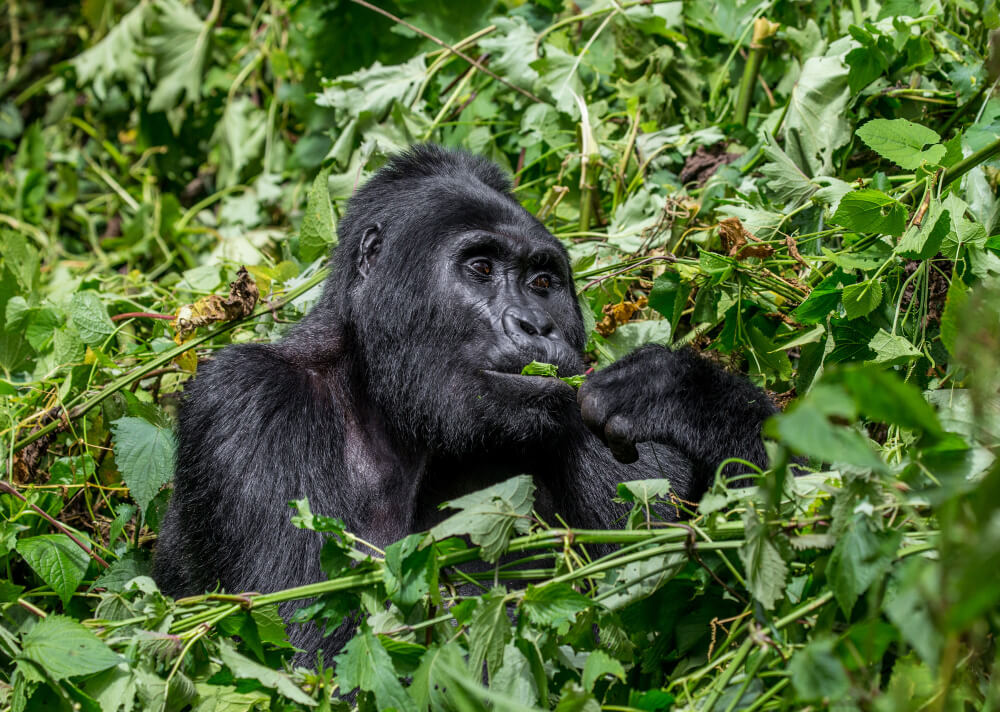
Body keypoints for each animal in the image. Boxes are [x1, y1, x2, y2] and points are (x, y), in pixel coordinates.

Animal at [152, 146, 776, 660]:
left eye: (543, 281)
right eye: (480, 268)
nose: (537, 325)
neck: (380, 400)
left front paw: (685, 396)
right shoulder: (247, 402)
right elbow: (310, 651)